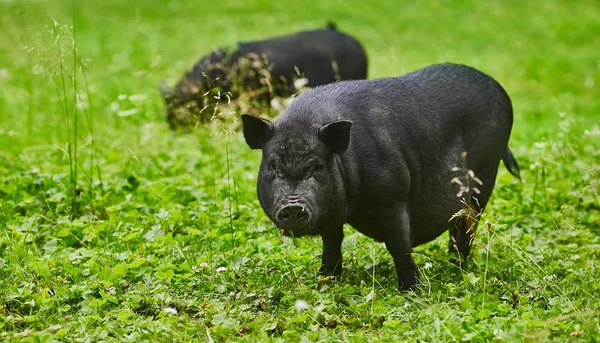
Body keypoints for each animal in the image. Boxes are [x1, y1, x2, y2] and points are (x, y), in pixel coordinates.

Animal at [241, 63, 516, 292]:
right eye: (273, 166)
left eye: (317, 167)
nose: (293, 206)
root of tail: (499, 88)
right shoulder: (332, 212)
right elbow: (332, 244)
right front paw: (325, 280)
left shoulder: (393, 195)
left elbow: (398, 244)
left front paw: (411, 290)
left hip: (485, 174)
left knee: (469, 222)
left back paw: (457, 266)